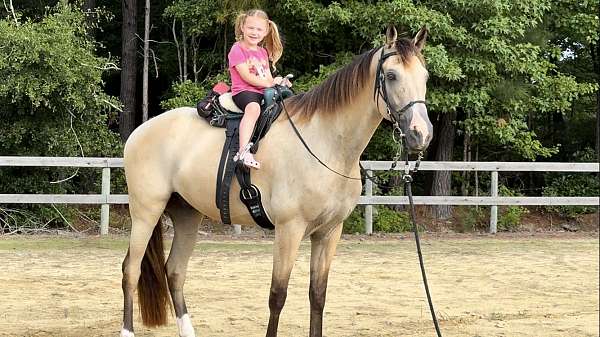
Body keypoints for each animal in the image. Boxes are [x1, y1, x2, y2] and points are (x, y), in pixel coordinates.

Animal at [120, 26, 432, 336]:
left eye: (425, 76)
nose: (421, 133)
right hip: (146, 213)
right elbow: (278, 295)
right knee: (131, 271)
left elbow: (318, 294)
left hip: (187, 215)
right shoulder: (289, 229)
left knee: (174, 271)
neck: (326, 143)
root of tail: (141, 131)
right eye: (391, 75)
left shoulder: (329, 232)